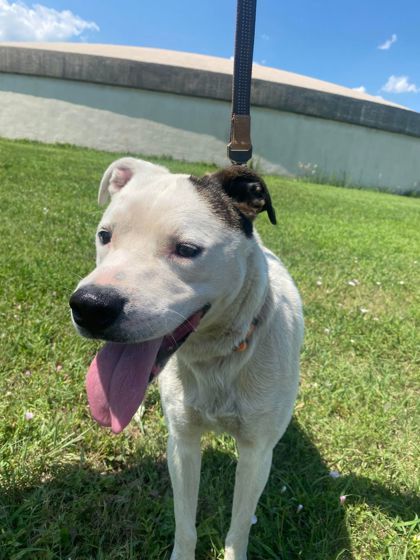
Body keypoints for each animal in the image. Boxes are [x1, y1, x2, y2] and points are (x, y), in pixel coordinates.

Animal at [70, 159, 304, 560]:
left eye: (187, 249)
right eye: (104, 235)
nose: (90, 306)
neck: (217, 355)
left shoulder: (256, 454)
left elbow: (238, 529)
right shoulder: (182, 443)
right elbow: (185, 523)